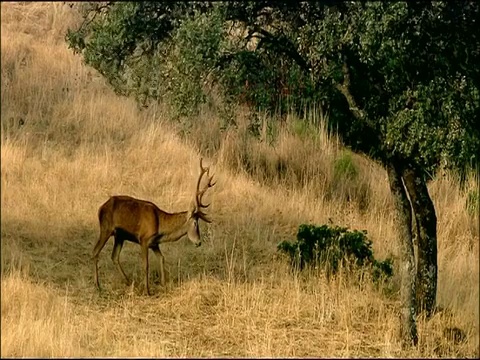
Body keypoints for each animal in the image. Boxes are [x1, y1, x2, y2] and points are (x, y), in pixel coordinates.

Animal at [92, 158, 216, 296]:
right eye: (195, 223)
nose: (199, 242)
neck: (160, 227)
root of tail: (100, 209)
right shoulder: (144, 239)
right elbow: (145, 264)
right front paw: (147, 290)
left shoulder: (154, 243)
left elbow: (162, 258)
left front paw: (164, 284)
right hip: (106, 228)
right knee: (95, 252)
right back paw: (98, 285)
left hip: (120, 236)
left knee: (114, 256)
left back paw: (128, 281)